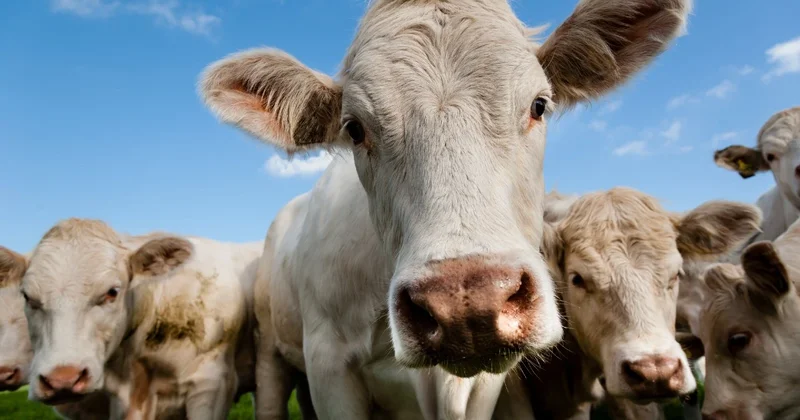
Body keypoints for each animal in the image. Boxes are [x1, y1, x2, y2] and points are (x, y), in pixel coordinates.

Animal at [199, 0, 691, 417]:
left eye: (539, 105)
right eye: (354, 128)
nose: (467, 303)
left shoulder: (489, 383)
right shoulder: (328, 366)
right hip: (272, 353)